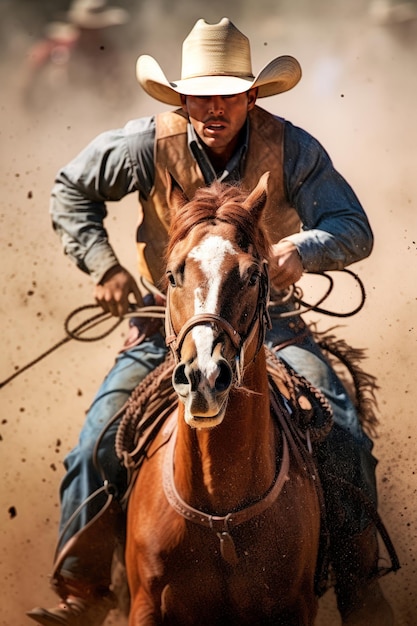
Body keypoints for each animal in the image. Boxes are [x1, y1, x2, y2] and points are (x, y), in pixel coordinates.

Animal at [122, 172, 324, 624]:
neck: (222, 522)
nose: (204, 378)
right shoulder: (144, 603)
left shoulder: (297, 605)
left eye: (251, 276)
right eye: (172, 275)